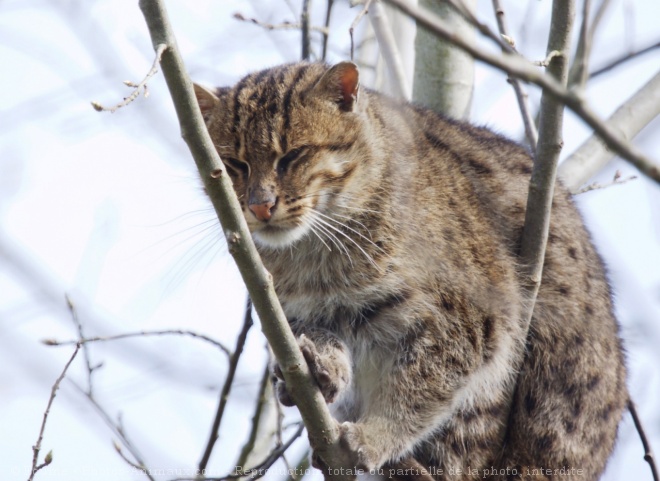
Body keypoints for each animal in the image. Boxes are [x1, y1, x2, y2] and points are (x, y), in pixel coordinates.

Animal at [193, 62, 628, 478]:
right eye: (233, 164)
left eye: (293, 155)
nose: (259, 206)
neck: (315, 254)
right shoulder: (294, 315)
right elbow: (321, 340)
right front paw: (323, 366)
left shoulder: (472, 323)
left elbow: (421, 389)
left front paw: (374, 436)